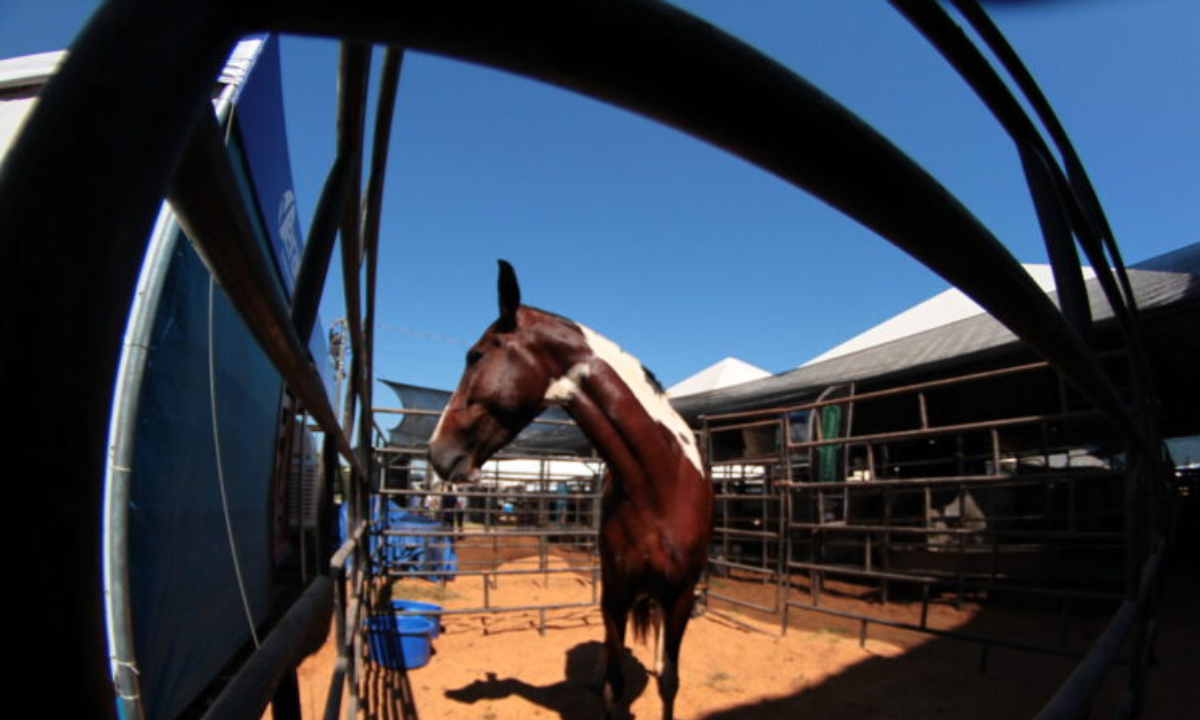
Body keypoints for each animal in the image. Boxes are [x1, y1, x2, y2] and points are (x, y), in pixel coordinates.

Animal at [432, 260, 710, 720]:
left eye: (475, 355)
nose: (436, 452)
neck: (659, 486)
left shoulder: (682, 596)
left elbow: (669, 680)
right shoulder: (616, 590)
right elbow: (616, 685)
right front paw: (606, 682)